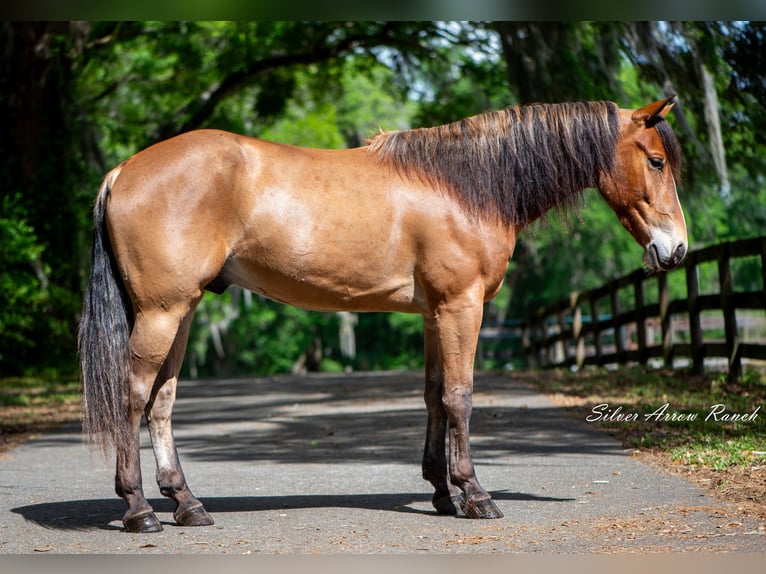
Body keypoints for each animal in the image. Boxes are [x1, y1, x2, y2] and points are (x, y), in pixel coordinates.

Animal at [78, 96, 687, 533]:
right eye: (656, 161)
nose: (677, 249)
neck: (465, 187)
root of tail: (123, 171)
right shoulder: (461, 306)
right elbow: (460, 397)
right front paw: (476, 495)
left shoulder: (434, 313)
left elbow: (434, 395)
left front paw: (442, 493)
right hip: (162, 312)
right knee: (133, 395)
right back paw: (139, 510)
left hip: (181, 312)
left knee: (161, 402)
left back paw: (187, 504)